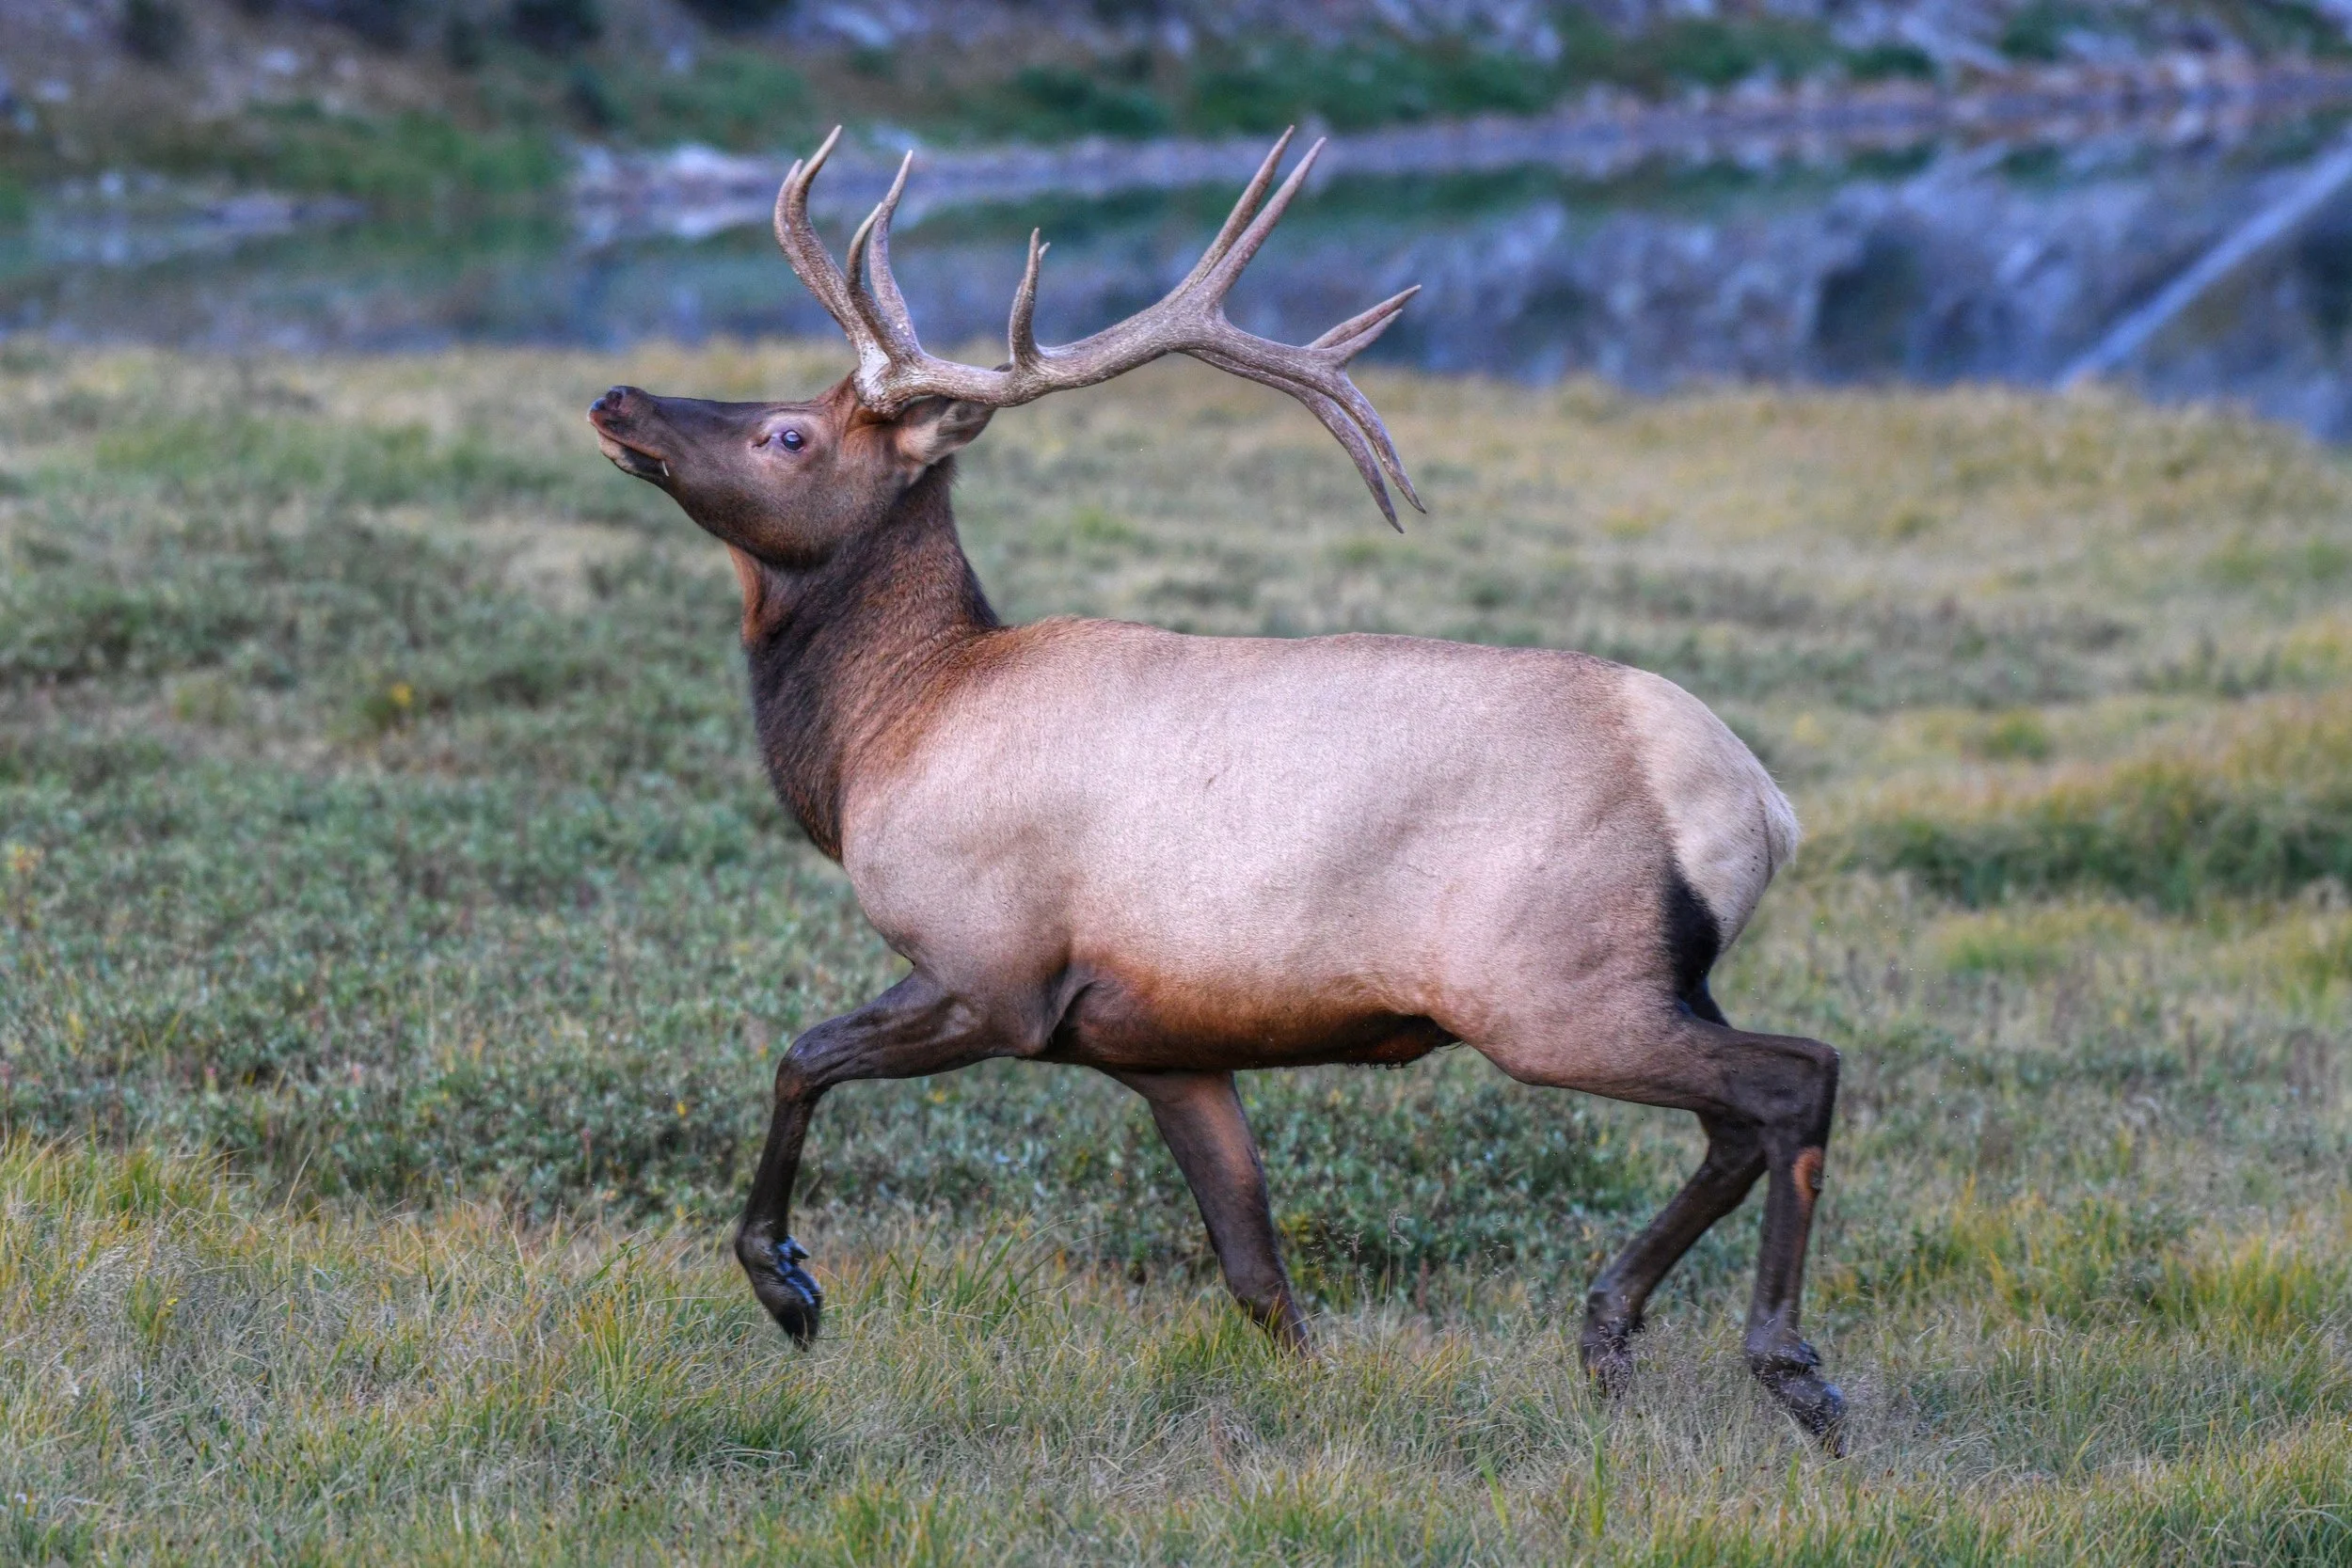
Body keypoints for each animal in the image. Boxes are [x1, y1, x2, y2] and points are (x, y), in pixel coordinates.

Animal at [587, 127, 1846, 1446]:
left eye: (788, 434)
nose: (617, 398)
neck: (884, 732)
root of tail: (1759, 805)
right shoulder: (1160, 1041)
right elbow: (1257, 1273)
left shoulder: (991, 970)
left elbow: (800, 1053)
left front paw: (787, 1282)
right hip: (1656, 980)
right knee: (1735, 1118)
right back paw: (1608, 1331)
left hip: (1551, 989)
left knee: (1793, 1077)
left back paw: (1786, 1362)